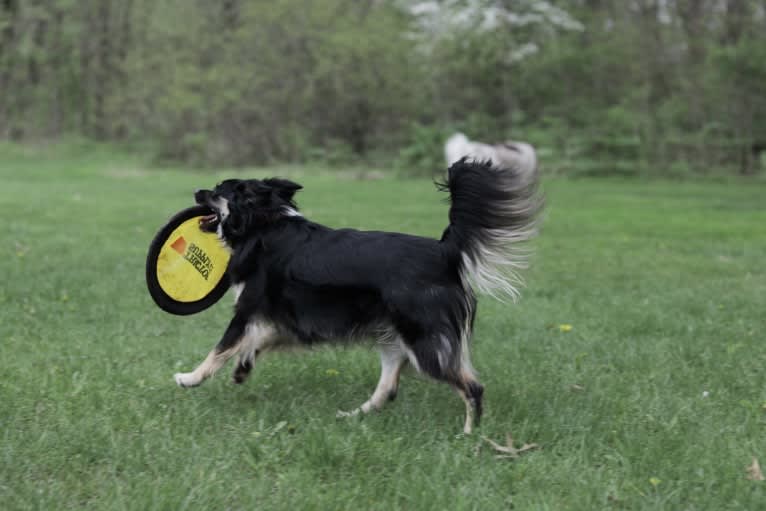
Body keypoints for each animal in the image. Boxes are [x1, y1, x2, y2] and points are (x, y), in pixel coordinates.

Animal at [176, 146, 544, 434]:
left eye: (217, 191)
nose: (195, 190)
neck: (265, 224)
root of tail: (445, 252)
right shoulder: (287, 319)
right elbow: (255, 342)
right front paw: (242, 369)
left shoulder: (248, 310)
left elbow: (221, 348)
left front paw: (191, 378)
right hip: (395, 337)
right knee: (388, 387)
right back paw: (353, 415)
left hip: (424, 342)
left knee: (472, 387)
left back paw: (468, 435)